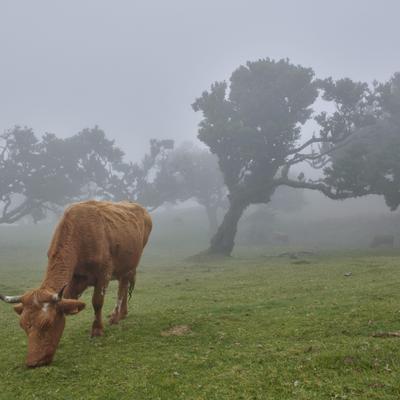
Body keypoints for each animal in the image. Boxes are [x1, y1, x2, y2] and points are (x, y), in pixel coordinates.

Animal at [0, 202, 152, 368]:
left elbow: (97, 302)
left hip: (129, 265)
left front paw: (97, 330)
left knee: (122, 288)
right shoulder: (73, 281)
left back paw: (116, 316)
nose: (33, 362)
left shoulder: (104, 274)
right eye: (22, 325)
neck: (81, 236)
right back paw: (121, 313)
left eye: (47, 323)